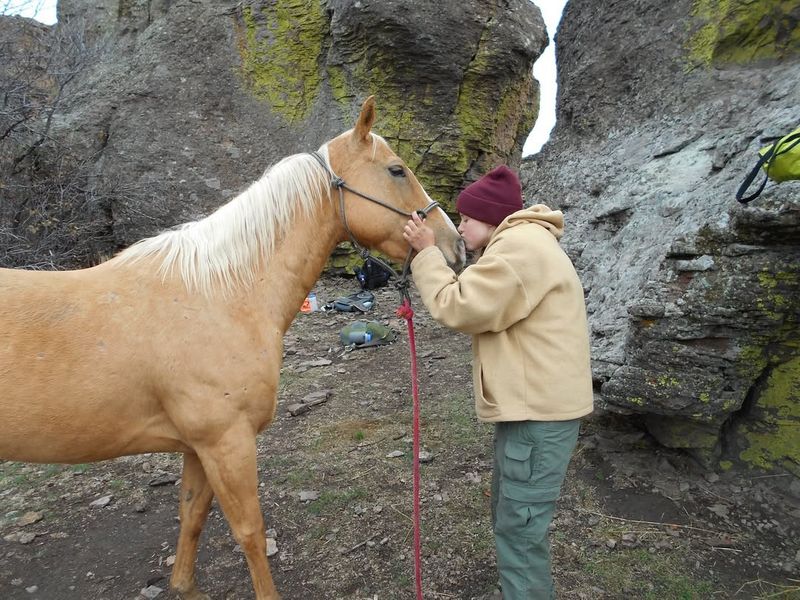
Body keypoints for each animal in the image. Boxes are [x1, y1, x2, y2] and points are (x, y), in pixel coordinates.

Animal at [0, 96, 466, 596]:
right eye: (397, 170)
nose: (456, 246)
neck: (215, 296)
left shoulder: (197, 447)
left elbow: (192, 516)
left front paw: (184, 586)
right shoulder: (227, 441)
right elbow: (249, 531)